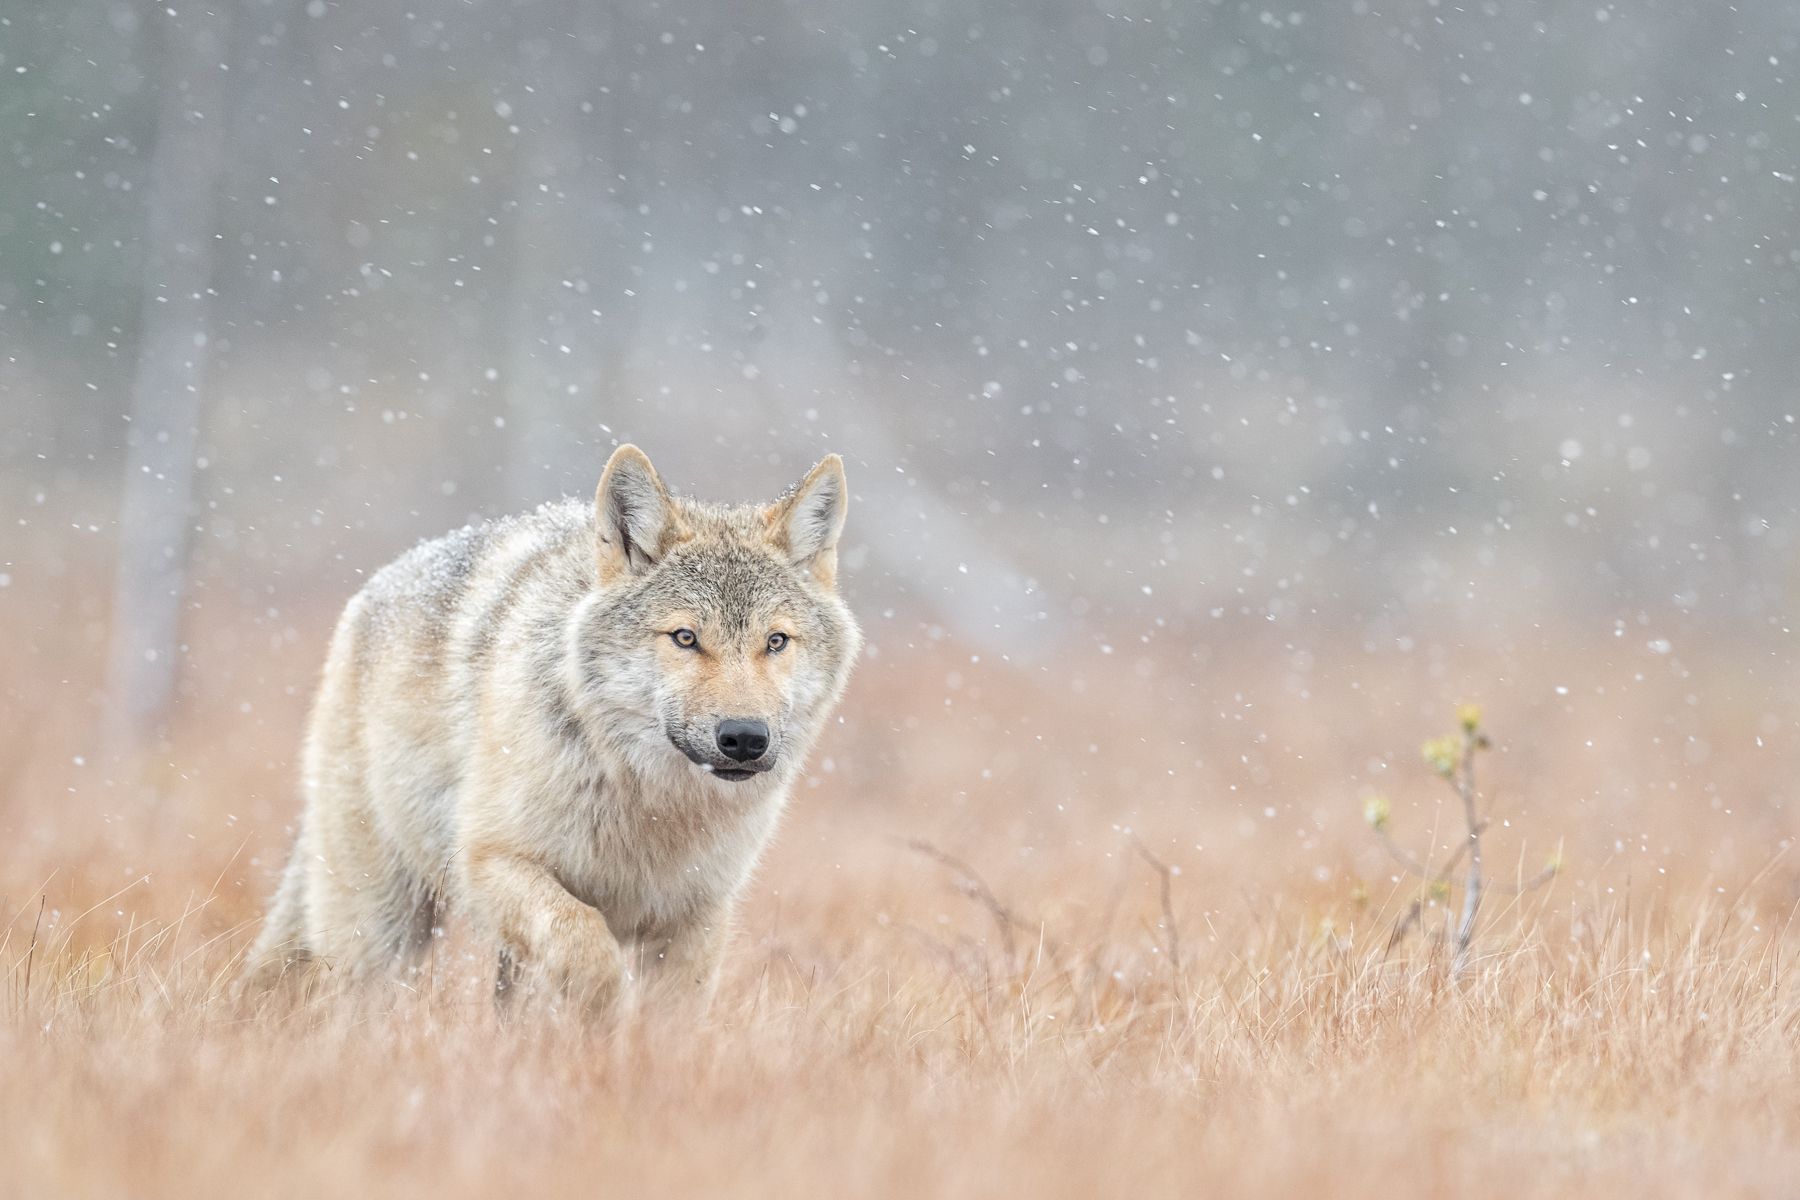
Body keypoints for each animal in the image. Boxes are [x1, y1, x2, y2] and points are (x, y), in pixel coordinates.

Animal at [244, 445, 860, 1014]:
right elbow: (590, 951)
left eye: (775, 642)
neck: (653, 806)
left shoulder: (697, 917)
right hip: (380, 926)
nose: (745, 737)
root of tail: (371, 590)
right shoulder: (491, 862)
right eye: (685, 638)